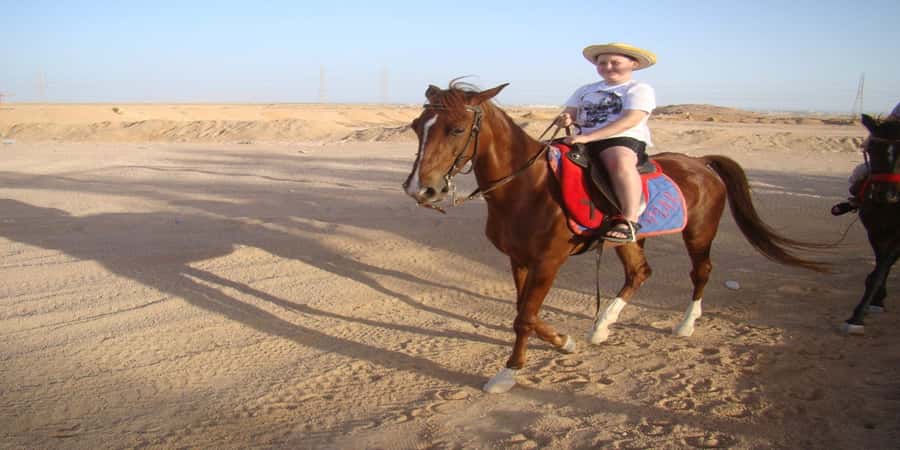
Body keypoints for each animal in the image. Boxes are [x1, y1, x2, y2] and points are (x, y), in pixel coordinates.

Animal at [402, 82, 826, 393]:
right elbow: (527, 313)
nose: (420, 189)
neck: (528, 187)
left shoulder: (548, 262)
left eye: (457, 129)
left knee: (701, 272)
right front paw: (564, 341)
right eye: (416, 127)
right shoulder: (519, 260)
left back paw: (685, 324)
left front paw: (509, 372)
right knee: (639, 273)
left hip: (698, 233)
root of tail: (701, 163)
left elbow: (524, 318)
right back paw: (601, 325)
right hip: (630, 240)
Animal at [841, 114, 900, 335]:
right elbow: (878, 271)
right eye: (872, 149)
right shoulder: (875, 231)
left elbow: (882, 268)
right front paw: (871, 305)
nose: (885, 194)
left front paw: (859, 315)